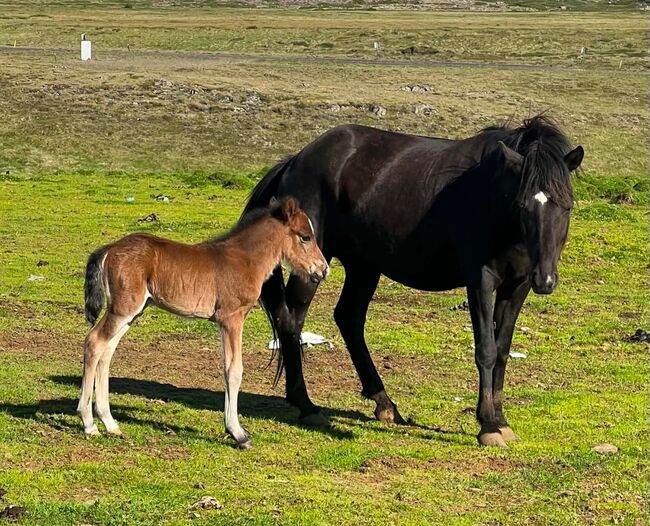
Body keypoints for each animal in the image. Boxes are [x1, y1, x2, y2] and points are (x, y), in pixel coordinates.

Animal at [77, 197, 328, 449]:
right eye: (305, 236)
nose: (323, 269)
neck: (245, 259)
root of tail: (110, 248)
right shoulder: (231, 318)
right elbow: (234, 370)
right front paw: (238, 433)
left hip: (132, 312)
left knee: (107, 352)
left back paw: (110, 423)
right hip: (123, 309)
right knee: (94, 341)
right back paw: (89, 423)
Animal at [243, 115, 584, 448]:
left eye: (566, 205)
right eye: (523, 204)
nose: (546, 279)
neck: (495, 202)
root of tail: (296, 160)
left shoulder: (518, 285)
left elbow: (502, 349)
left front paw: (500, 420)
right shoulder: (481, 280)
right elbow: (486, 349)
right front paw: (487, 425)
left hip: (364, 265)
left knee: (348, 318)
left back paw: (384, 403)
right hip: (314, 262)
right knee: (292, 320)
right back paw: (306, 405)